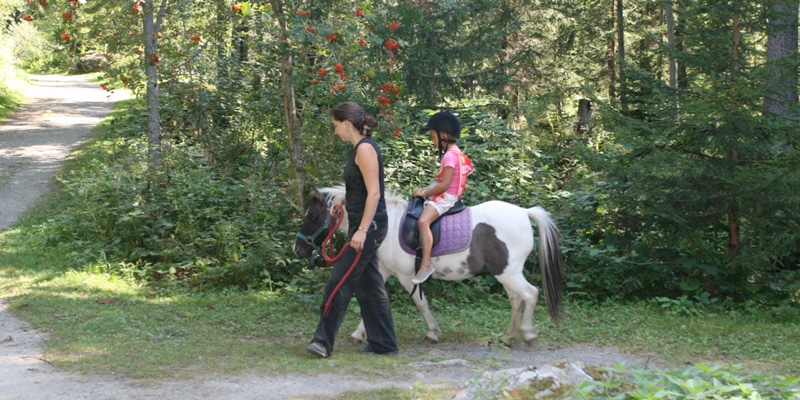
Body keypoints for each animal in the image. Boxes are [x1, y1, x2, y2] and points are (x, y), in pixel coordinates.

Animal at [294, 186, 564, 346]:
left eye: (314, 217)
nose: (298, 249)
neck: (385, 225)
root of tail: (525, 212)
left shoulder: (406, 276)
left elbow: (420, 303)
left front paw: (433, 331)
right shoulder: (384, 271)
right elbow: (372, 299)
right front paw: (359, 333)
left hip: (509, 273)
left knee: (531, 294)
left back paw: (528, 332)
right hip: (505, 274)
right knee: (517, 300)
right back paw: (509, 336)